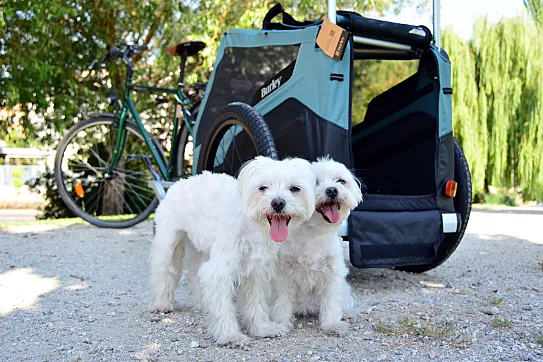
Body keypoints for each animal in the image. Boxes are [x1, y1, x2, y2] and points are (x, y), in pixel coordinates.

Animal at [151, 156, 316, 346]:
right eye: (262, 187)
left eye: (295, 188)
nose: (277, 203)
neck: (251, 223)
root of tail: (181, 181)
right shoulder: (220, 271)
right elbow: (223, 306)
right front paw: (230, 336)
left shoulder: (256, 271)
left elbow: (256, 302)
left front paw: (262, 329)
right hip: (168, 244)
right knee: (163, 273)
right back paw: (161, 304)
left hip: (202, 249)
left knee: (195, 274)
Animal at [270, 157, 364, 336]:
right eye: (315, 182)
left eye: (341, 181)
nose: (332, 190)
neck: (314, 231)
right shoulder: (283, 274)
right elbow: (282, 301)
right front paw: (281, 323)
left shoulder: (332, 272)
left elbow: (331, 301)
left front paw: (332, 324)